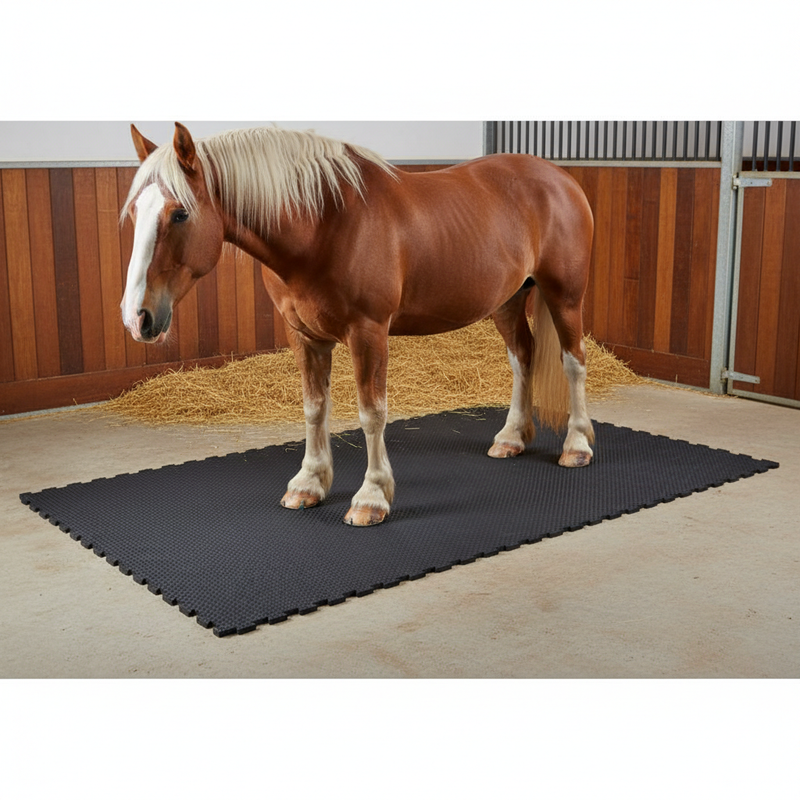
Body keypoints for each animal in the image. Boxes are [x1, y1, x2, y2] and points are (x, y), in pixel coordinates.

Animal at [120, 122, 595, 526]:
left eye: (180, 214)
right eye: (136, 213)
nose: (136, 317)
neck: (324, 225)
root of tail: (561, 178)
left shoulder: (368, 333)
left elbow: (371, 413)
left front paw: (372, 498)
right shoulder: (305, 336)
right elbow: (315, 407)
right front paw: (309, 484)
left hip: (565, 297)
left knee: (573, 362)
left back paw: (576, 445)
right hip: (508, 301)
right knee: (522, 358)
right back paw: (512, 438)